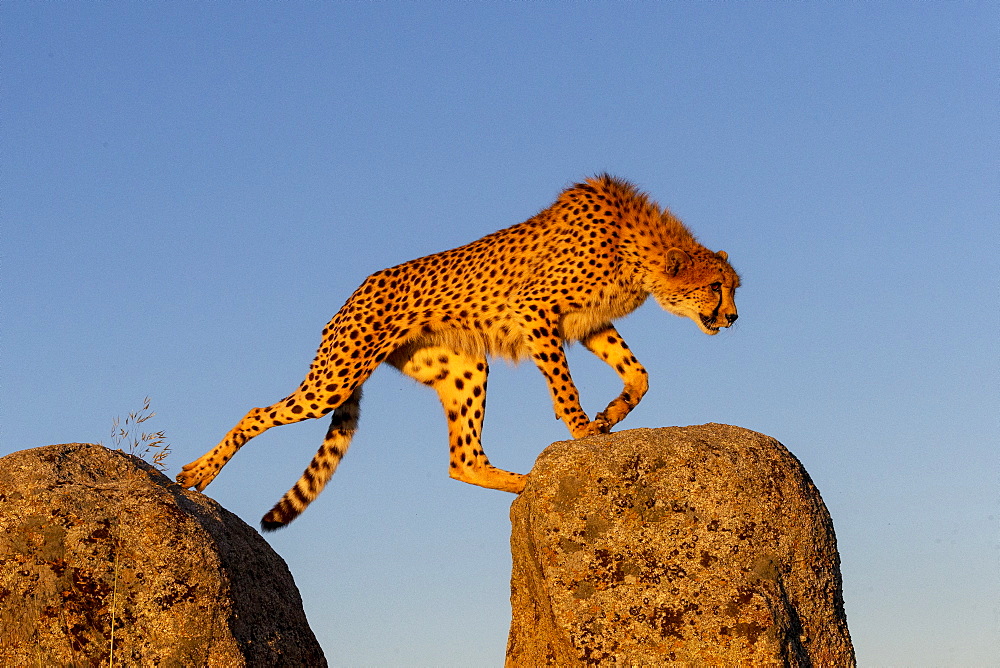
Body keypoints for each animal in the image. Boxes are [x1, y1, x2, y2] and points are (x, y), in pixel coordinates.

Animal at [180, 175, 740, 528]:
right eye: (716, 288)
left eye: (734, 287)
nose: (734, 318)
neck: (638, 246)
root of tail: (352, 296)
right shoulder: (535, 311)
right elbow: (565, 385)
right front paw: (582, 428)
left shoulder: (590, 323)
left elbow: (640, 374)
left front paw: (612, 414)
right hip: (336, 377)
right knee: (257, 412)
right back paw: (196, 474)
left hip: (465, 367)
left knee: (463, 458)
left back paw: (525, 484)